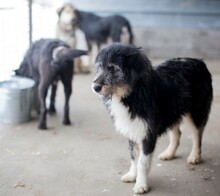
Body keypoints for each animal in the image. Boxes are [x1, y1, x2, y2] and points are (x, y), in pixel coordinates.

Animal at [92, 43, 213, 194]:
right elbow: (134, 158)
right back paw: (169, 154)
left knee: (197, 134)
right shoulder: (132, 129)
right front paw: (132, 175)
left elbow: (142, 163)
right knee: (177, 133)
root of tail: (199, 61)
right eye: (99, 67)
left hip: (196, 112)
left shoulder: (147, 134)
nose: (95, 87)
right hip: (172, 111)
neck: (132, 95)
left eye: (113, 68)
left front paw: (141, 185)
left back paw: (195, 156)